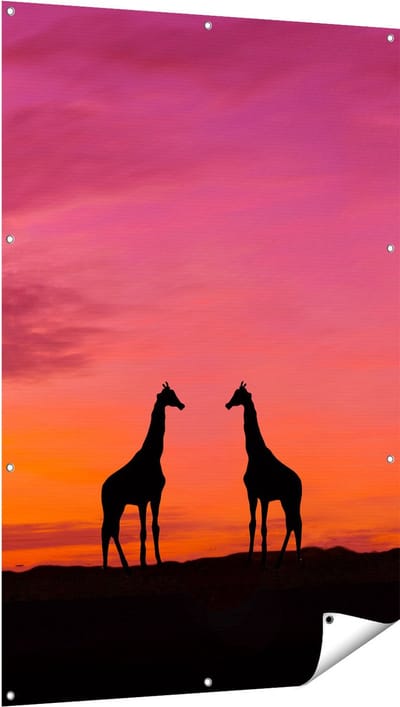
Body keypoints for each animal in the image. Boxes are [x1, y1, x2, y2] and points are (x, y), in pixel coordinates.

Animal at [101, 382, 185, 572]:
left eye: (174, 393)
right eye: (170, 395)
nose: (181, 405)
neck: (155, 455)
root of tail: (102, 489)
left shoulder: (155, 496)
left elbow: (155, 527)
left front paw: (158, 560)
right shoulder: (143, 500)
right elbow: (143, 531)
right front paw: (143, 561)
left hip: (118, 506)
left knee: (109, 530)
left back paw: (112, 566)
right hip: (113, 506)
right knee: (110, 530)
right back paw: (121, 566)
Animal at [226, 382, 302, 567]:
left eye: (238, 394)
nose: (228, 404)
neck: (253, 453)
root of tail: (300, 483)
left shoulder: (264, 497)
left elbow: (264, 527)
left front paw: (263, 561)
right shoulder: (252, 493)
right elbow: (252, 524)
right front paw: (249, 559)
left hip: (293, 499)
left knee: (296, 523)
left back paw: (294, 561)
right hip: (285, 500)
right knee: (292, 524)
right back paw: (282, 561)